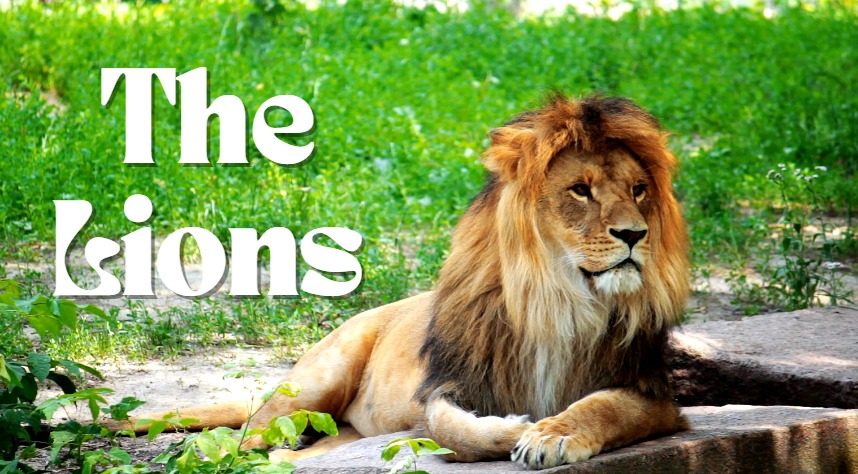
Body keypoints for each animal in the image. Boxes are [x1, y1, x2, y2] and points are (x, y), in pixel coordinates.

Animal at [113, 94, 690, 470]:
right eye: (580, 190)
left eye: (638, 190)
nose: (635, 234)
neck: (556, 299)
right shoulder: (446, 386)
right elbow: (450, 429)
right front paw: (516, 429)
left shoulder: (655, 395)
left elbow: (603, 406)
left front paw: (553, 433)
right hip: (319, 377)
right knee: (245, 435)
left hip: (335, 429)